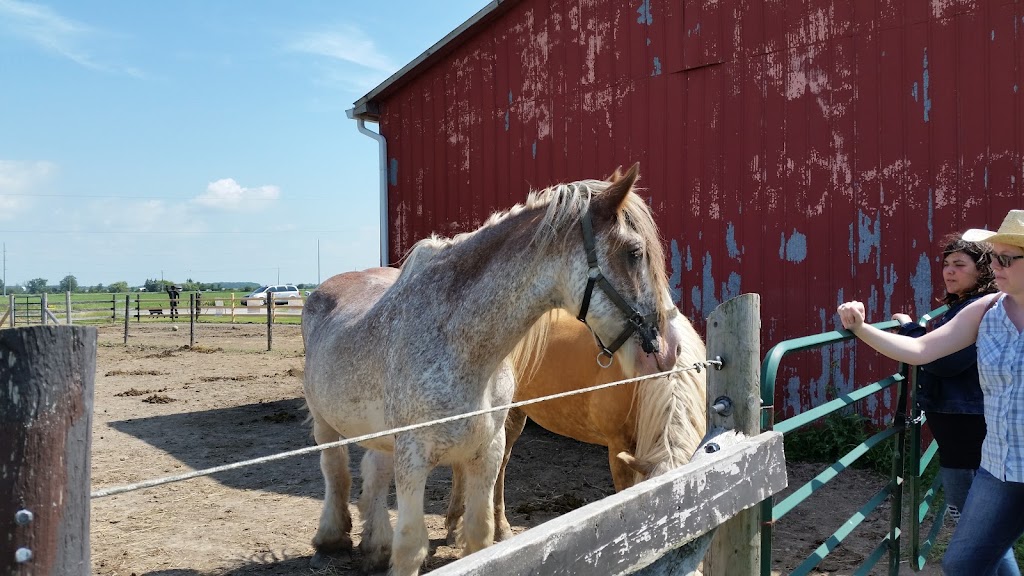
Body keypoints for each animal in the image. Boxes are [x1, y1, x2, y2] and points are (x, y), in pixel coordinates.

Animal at [299, 162, 679, 573]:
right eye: (634, 252)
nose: (668, 349)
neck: (462, 347)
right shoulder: (413, 458)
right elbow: (411, 545)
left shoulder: (488, 452)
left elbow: (480, 538)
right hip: (325, 423)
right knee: (335, 470)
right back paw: (332, 536)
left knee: (373, 473)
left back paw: (375, 545)